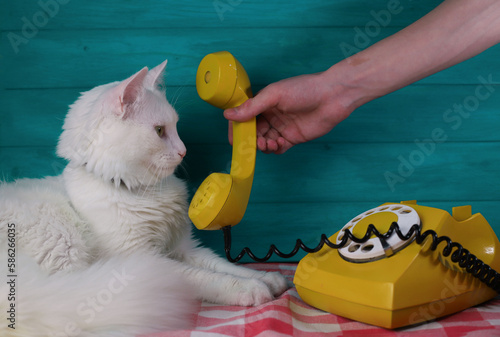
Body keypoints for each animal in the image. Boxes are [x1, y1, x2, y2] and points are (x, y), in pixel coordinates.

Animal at [0, 60, 288, 336]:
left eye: (176, 127)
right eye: (159, 131)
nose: (184, 151)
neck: (142, 191)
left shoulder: (185, 248)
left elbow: (224, 265)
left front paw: (268, 278)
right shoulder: (147, 259)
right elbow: (207, 277)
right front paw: (250, 288)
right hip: (65, 242)